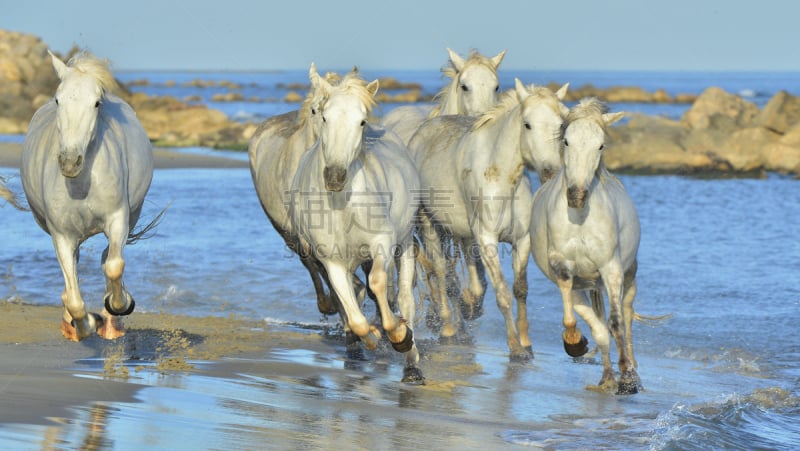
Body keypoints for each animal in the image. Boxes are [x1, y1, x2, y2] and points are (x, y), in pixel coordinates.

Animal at [20, 51, 155, 340]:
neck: (81, 186)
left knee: (108, 259)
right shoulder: (61, 236)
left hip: (132, 216)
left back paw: (112, 324)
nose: (70, 162)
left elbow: (114, 266)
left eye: (96, 103)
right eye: (57, 99)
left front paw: (118, 306)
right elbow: (73, 298)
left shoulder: (117, 219)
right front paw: (84, 325)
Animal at [290, 68, 424, 384]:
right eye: (324, 116)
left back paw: (412, 366)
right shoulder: (332, 261)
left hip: (404, 243)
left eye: (361, 121)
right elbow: (353, 313)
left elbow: (378, 283)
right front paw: (372, 336)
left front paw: (399, 335)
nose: (335, 177)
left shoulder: (381, 242)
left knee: (404, 297)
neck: (342, 206)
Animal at [410, 78, 572, 360]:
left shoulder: (521, 240)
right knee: (442, 274)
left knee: (462, 281)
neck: (502, 177)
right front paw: (515, 347)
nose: (550, 172)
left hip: (462, 234)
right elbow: (503, 293)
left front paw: (526, 342)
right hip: (429, 225)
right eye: (527, 124)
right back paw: (449, 329)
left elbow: (520, 290)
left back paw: (464, 323)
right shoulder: (487, 240)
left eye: (560, 124)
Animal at [532, 99, 644, 396]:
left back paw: (633, 373)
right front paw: (574, 344)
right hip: (585, 286)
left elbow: (617, 323)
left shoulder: (611, 269)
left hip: (628, 276)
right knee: (598, 326)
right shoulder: (562, 267)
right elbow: (582, 323)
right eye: (567, 141)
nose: (577, 196)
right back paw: (606, 377)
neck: (581, 219)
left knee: (626, 318)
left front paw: (628, 380)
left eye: (601, 145)